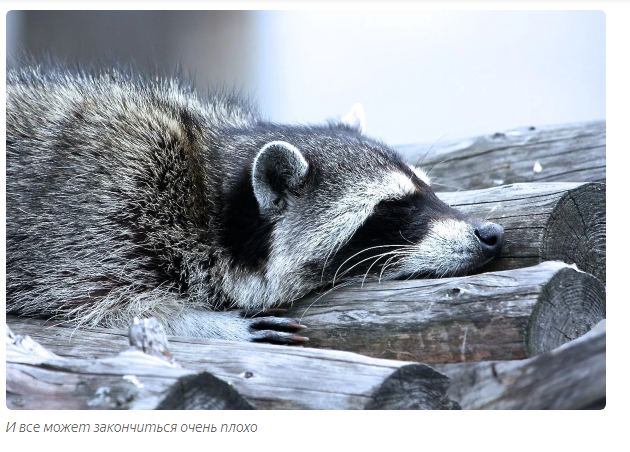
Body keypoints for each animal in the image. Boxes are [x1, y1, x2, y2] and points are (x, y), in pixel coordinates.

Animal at [4, 62, 506, 342]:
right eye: (394, 207)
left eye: (430, 191)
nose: (491, 233)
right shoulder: (102, 218)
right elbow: (104, 308)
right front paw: (201, 322)